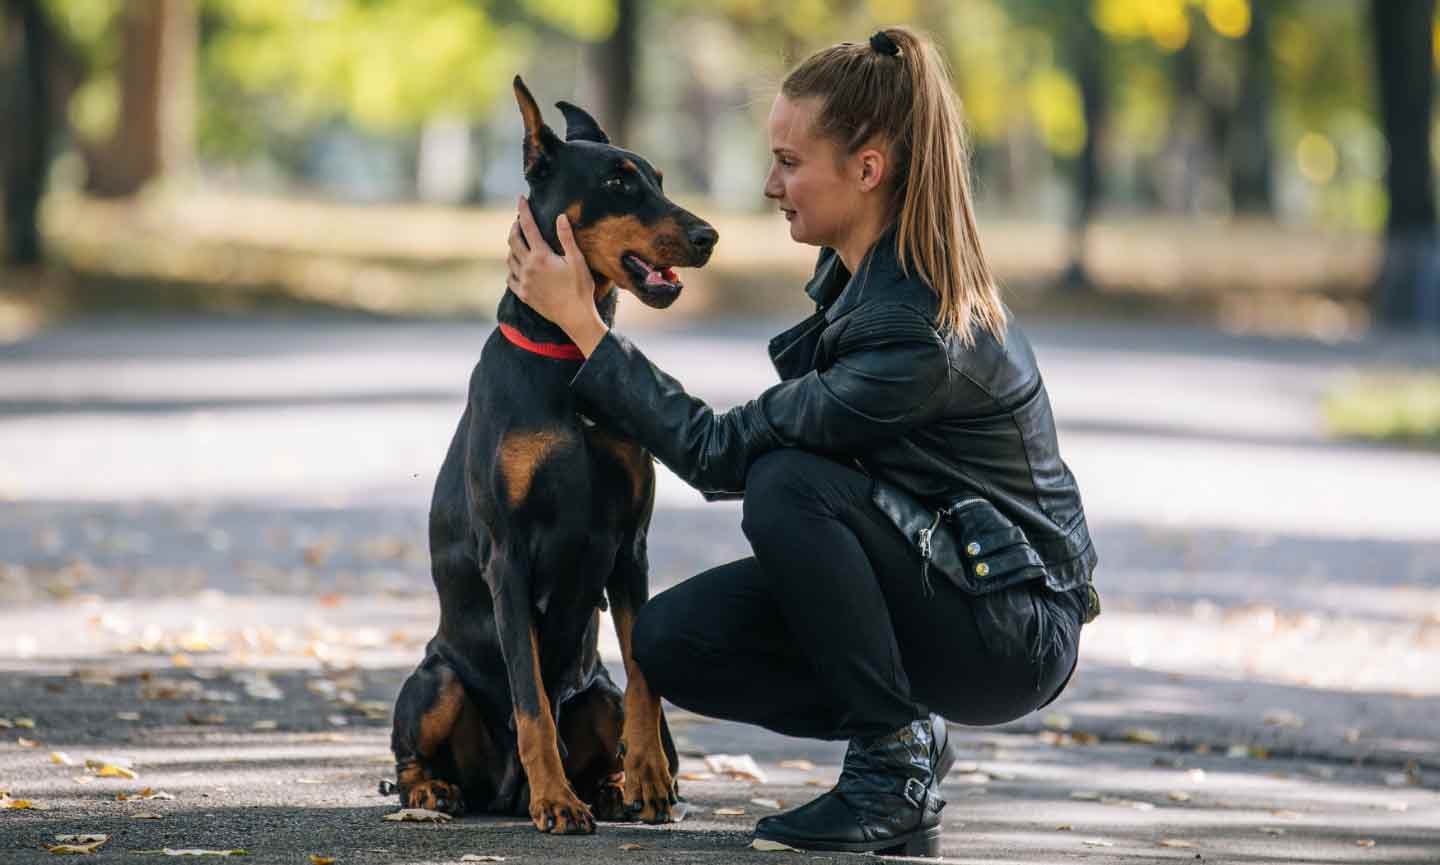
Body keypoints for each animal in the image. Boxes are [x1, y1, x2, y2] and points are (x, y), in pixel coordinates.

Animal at [383, 77, 720, 834]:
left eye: (660, 178)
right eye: (618, 182)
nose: (708, 236)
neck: (569, 356)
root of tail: (499, 792)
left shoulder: (632, 546)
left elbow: (646, 683)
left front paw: (649, 780)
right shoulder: (506, 553)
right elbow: (530, 698)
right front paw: (557, 801)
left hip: (595, 690)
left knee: (614, 703)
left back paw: (612, 785)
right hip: (436, 680)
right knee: (408, 755)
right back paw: (441, 791)